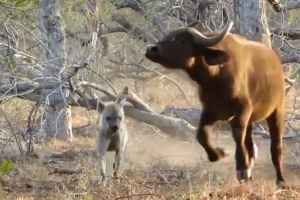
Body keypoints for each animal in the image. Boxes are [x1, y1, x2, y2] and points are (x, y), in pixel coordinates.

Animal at [145, 20, 286, 186]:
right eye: (168, 36)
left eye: (183, 41)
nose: (151, 48)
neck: (215, 78)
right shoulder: (210, 110)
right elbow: (201, 134)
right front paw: (218, 154)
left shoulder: (242, 110)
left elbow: (238, 135)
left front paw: (242, 168)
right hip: (251, 120)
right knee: (250, 144)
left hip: (277, 110)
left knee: (276, 147)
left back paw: (280, 180)